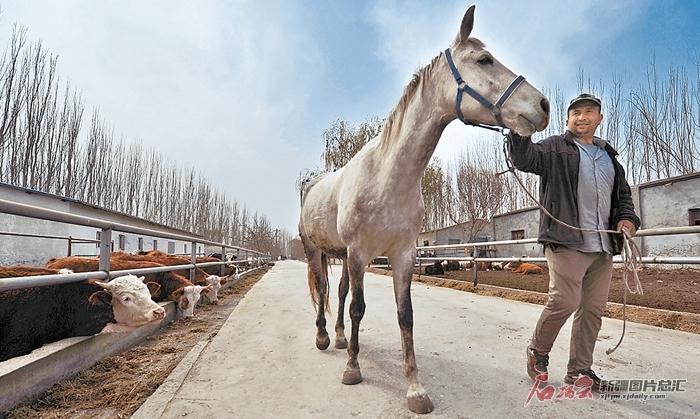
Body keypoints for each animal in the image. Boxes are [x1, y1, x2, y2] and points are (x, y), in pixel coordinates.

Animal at [298, 4, 548, 416]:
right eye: (484, 59)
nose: (543, 106)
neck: (386, 175)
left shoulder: (401, 255)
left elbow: (404, 315)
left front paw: (415, 388)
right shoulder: (359, 252)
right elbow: (358, 309)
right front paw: (352, 368)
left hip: (343, 256)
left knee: (341, 291)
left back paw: (339, 338)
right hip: (316, 251)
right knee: (322, 290)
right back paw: (323, 338)